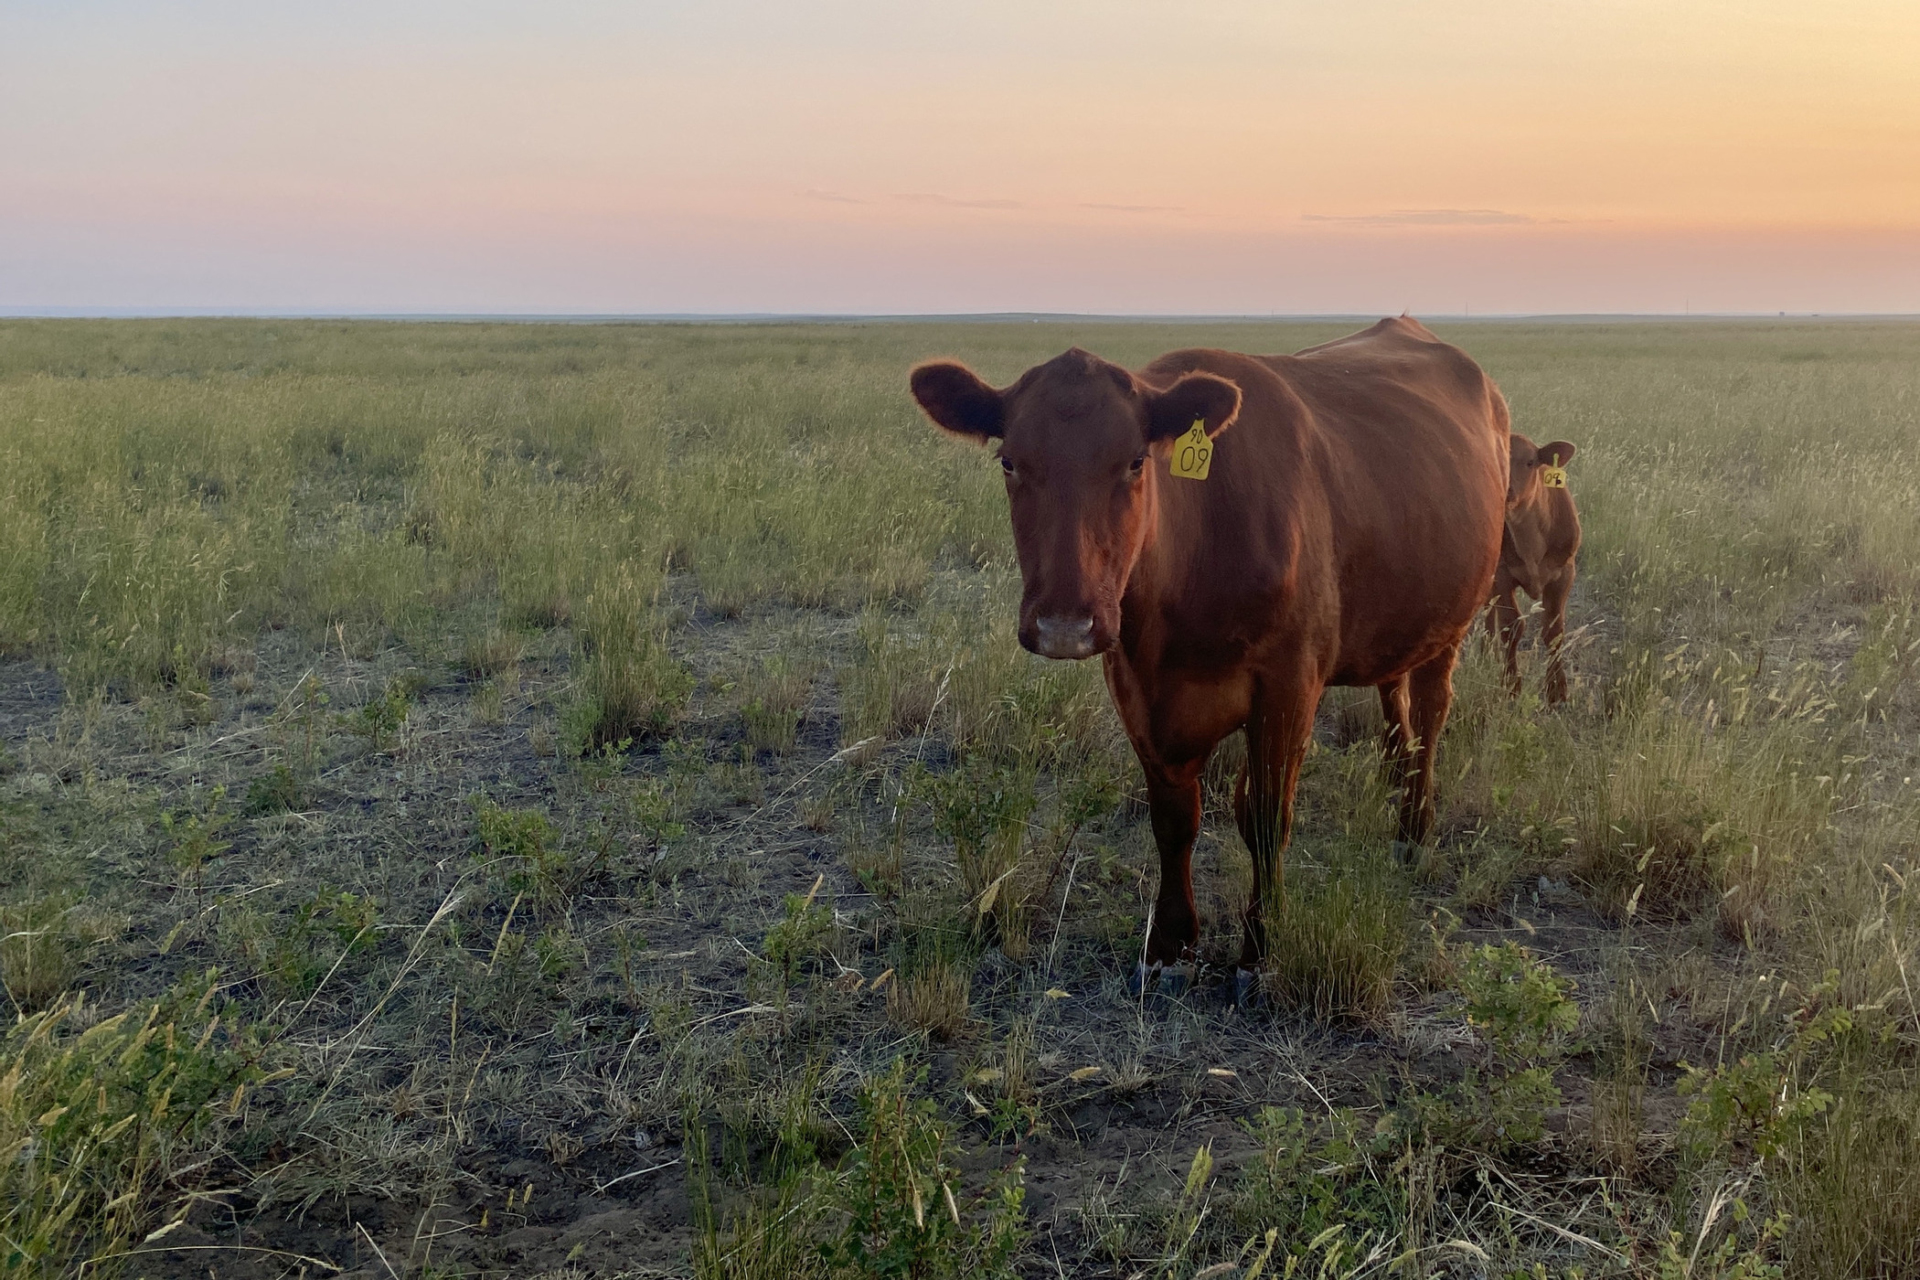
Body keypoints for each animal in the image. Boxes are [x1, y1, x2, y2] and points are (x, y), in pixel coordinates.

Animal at [909, 317, 1510, 998]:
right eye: (1010, 460)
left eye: (1136, 461)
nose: (1065, 623)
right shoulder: (1136, 687)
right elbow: (1175, 821)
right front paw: (1170, 944)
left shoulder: (1289, 682)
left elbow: (1268, 817)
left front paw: (1260, 946)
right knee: (1394, 701)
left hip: (1453, 619)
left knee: (1431, 715)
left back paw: (1414, 829)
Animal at [1488, 433, 1580, 704]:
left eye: (1530, 462)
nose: (1506, 489)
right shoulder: (1502, 575)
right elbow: (1511, 626)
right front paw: (1511, 684)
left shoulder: (1564, 573)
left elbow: (1554, 630)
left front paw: (1557, 690)